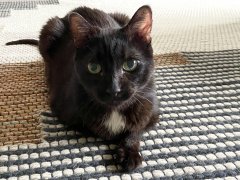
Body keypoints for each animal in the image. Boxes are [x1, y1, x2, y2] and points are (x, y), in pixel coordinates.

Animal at [6, 5, 159, 171]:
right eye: (94, 67)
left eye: (130, 64)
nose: (114, 90)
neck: (114, 110)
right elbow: (97, 129)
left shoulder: (151, 109)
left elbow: (137, 128)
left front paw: (129, 151)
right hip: (50, 30)